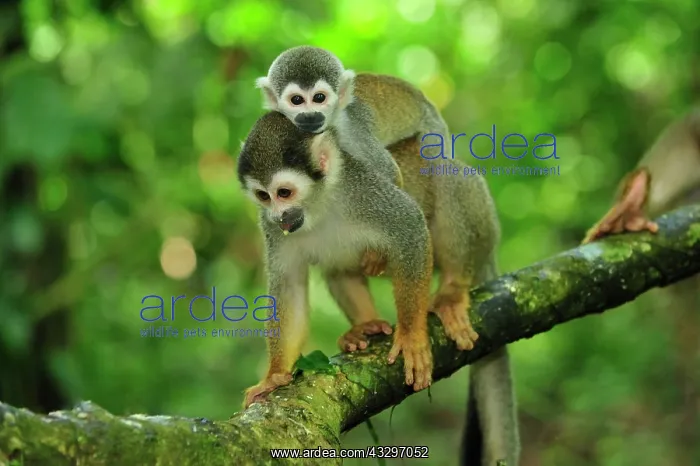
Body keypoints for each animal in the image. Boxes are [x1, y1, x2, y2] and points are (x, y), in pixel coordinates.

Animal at [237, 112, 520, 466]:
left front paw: (411, 337)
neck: (320, 206)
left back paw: (453, 289)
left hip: (481, 227)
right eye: (263, 196)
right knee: (337, 266)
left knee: (444, 173)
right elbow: (288, 287)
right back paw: (366, 325)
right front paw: (274, 375)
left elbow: (410, 228)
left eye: (284, 193)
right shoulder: (274, 232)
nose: (279, 216)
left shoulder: (365, 193)